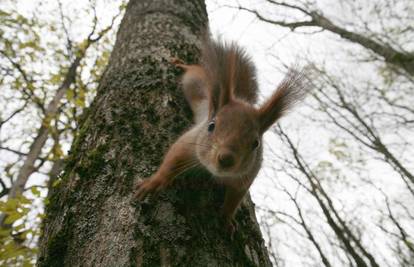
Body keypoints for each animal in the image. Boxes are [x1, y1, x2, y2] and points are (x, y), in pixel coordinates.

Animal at [134, 35, 308, 232]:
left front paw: (227, 218)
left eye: (256, 143)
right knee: (192, 69)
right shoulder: (190, 141)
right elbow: (172, 161)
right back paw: (181, 64)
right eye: (211, 126)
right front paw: (153, 182)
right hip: (192, 79)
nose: (226, 159)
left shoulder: (246, 176)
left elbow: (234, 198)